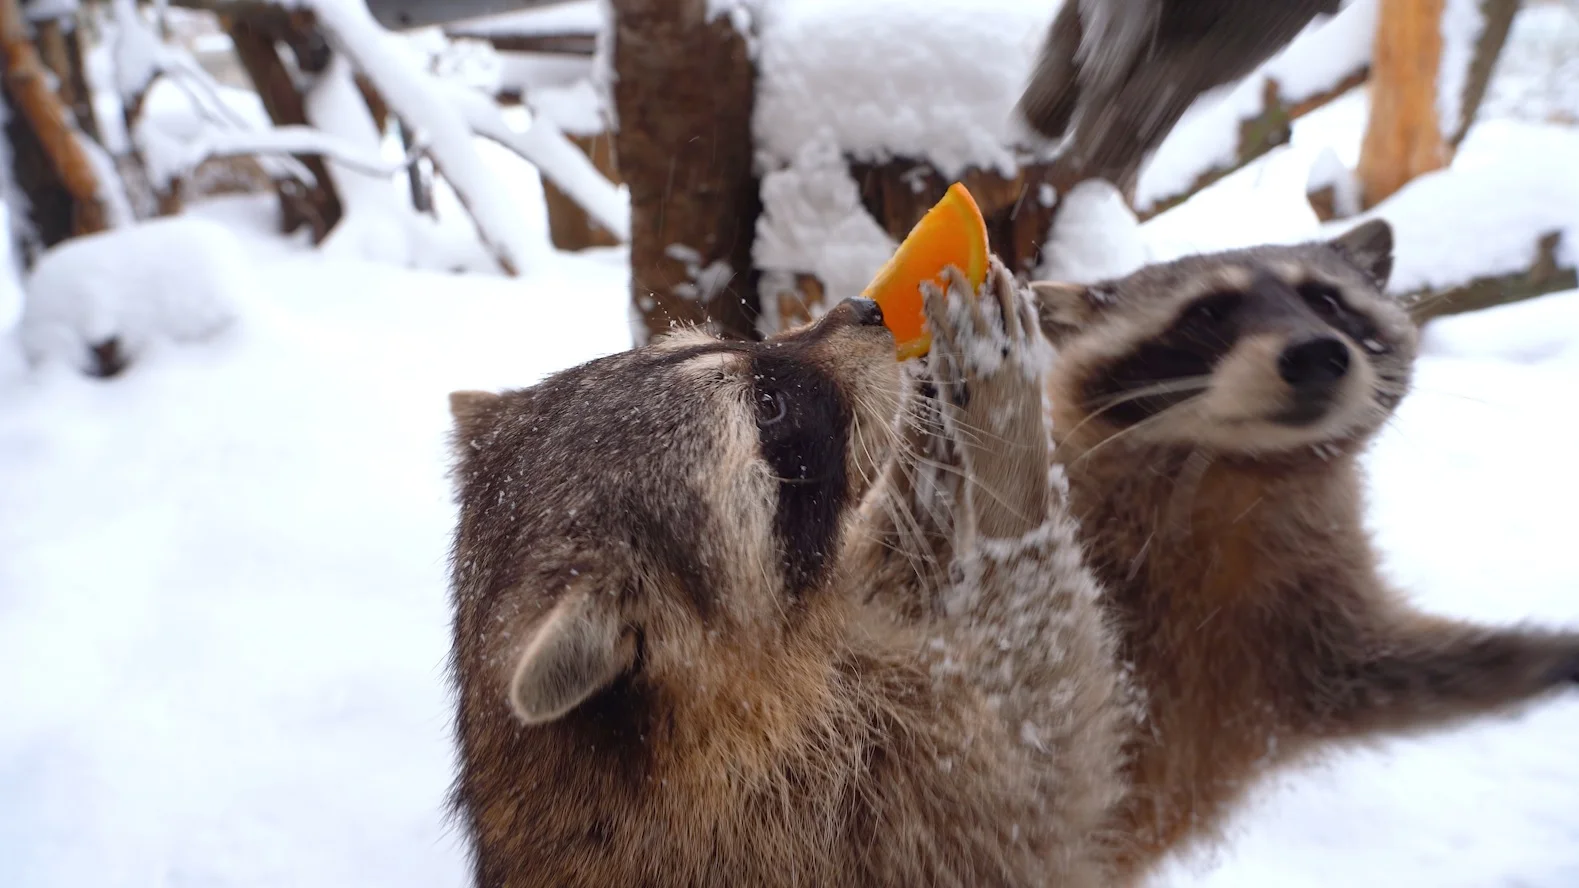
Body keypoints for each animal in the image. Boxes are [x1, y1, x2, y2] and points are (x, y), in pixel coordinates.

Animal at [448, 262, 1124, 884]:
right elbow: (1044, 772)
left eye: (717, 341)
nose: (866, 308)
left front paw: (935, 450)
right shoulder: (842, 807)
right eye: (768, 408)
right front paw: (1008, 451)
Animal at [1029, 218, 1579, 872]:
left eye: (1326, 301)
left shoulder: (1312, 628)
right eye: (1206, 312)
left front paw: (1543, 655)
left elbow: (1392, 673)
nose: (1318, 353)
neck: (1238, 473)